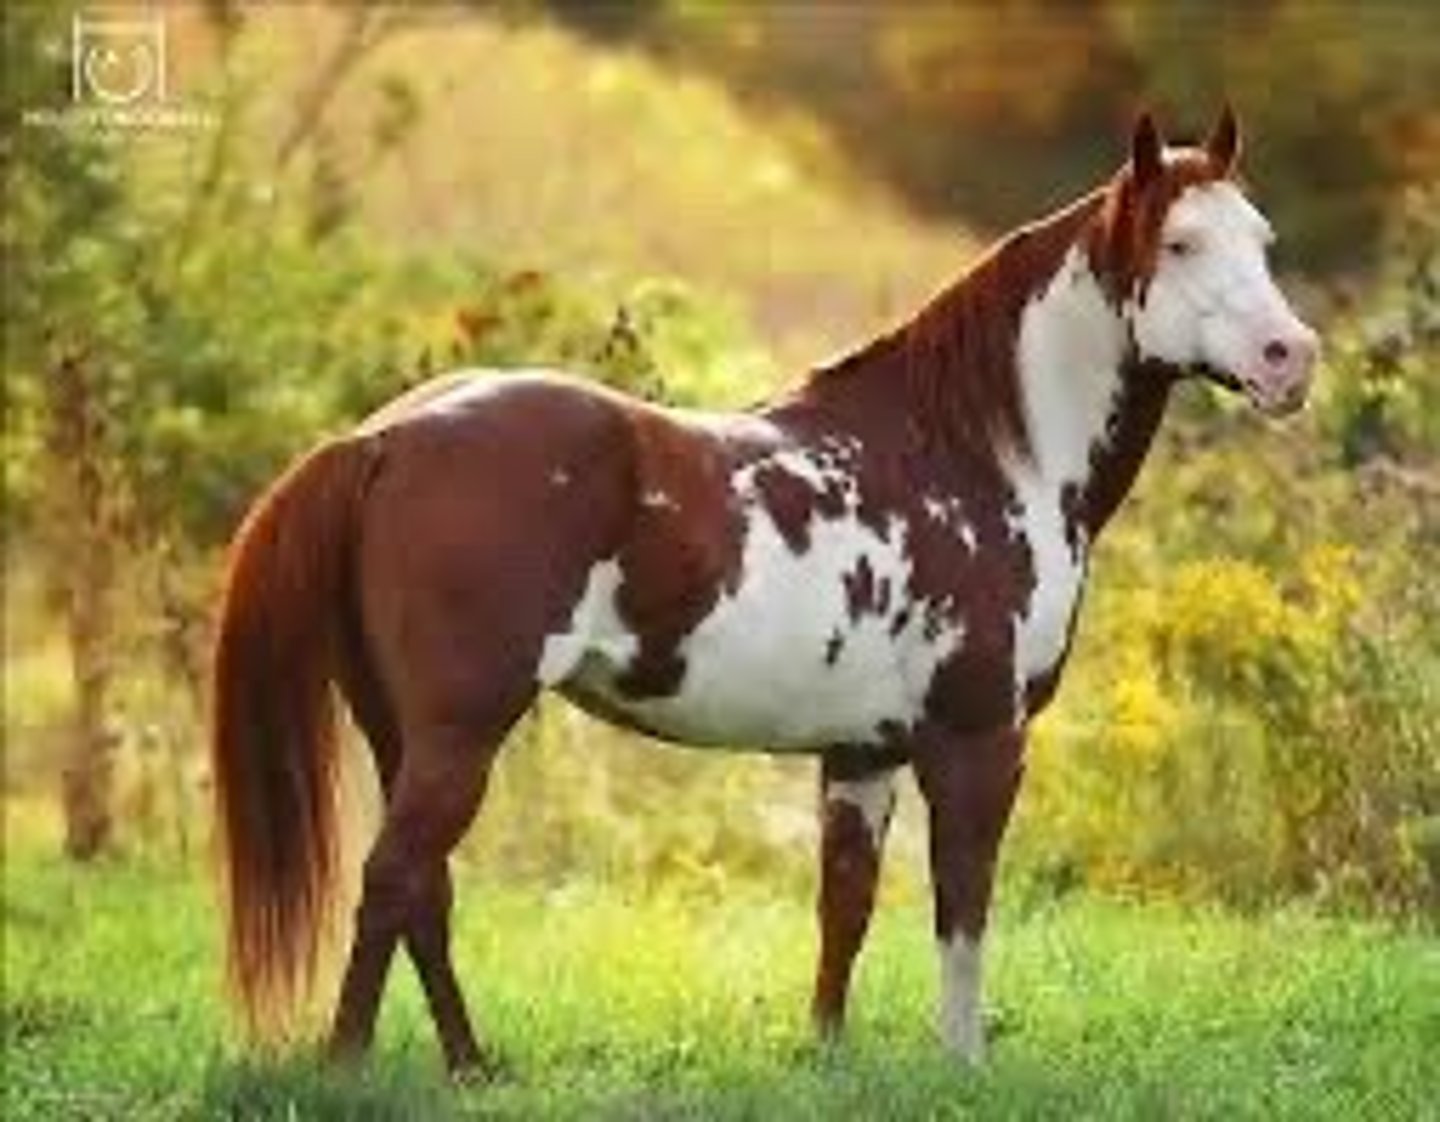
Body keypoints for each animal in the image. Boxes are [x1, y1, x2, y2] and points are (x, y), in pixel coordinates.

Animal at [211, 107, 1318, 1074]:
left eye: (1262, 240)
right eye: (1180, 243)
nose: (1291, 359)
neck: (975, 452)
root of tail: (381, 440)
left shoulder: (864, 750)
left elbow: (846, 907)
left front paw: (824, 1057)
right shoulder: (979, 742)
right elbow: (962, 908)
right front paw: (963, 1066)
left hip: (399, 732)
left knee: (423, 894)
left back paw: (471, 1068)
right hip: (460, 731)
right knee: (393, 879)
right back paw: (349, 1066)